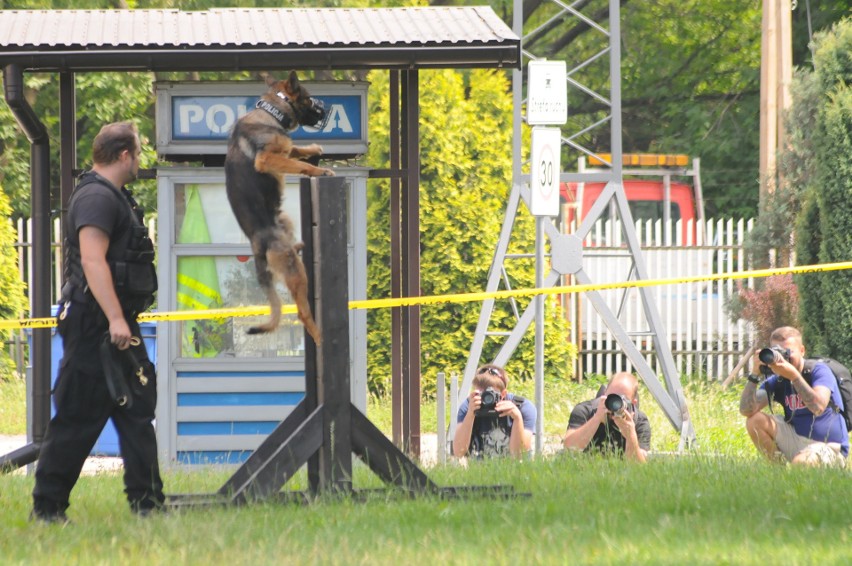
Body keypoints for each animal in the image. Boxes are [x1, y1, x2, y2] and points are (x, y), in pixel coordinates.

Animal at [225, 72, 334, 346]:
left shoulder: (283, 149)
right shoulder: (266, 159)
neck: (272, 112)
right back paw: (319, 336)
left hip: (286, 219)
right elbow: (298, 163)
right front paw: (320, 170)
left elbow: (293, 150)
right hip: (296, 272)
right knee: (302, 313)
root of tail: (257, 243)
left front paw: (312, 149)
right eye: (308, 97)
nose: (324, 109)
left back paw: (300, 245)